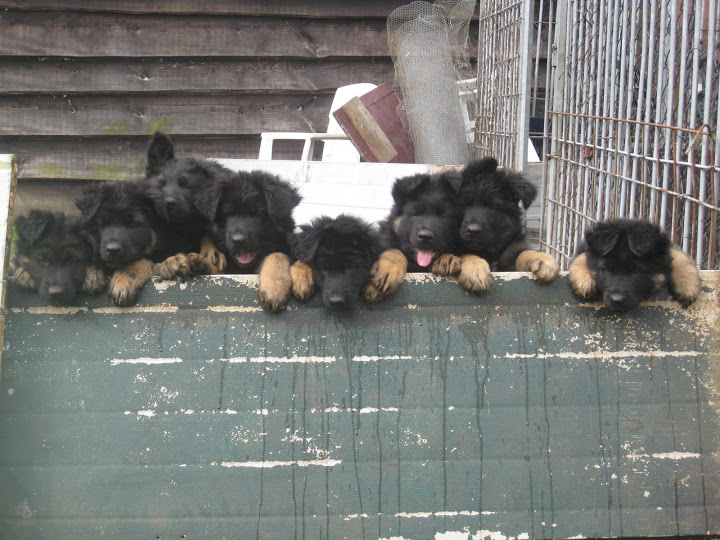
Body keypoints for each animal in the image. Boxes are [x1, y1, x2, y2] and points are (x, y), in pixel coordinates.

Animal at [362, 170, 464, 304]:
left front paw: (447, 258)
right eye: (416, 213)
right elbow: (395, 250)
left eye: (444, 215)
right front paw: (387, 269)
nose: (425, 237)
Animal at [452, 158, 560, 294]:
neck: (490, 250)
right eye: (465, 205)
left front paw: (543, 260)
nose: (473, 231)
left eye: (494, 206)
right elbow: (467, 255)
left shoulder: (512, 255)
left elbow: (524, 253)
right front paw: (476, 271)